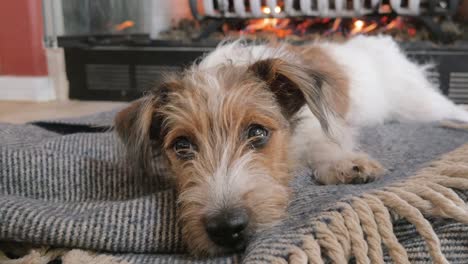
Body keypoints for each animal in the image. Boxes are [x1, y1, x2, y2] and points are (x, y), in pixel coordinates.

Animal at [113, 35, 468, 256]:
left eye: (257, 132)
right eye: (182, 145)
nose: (227, 229)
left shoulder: (319, 123)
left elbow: (324, 142)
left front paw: (343, 163)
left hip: (421, 105)